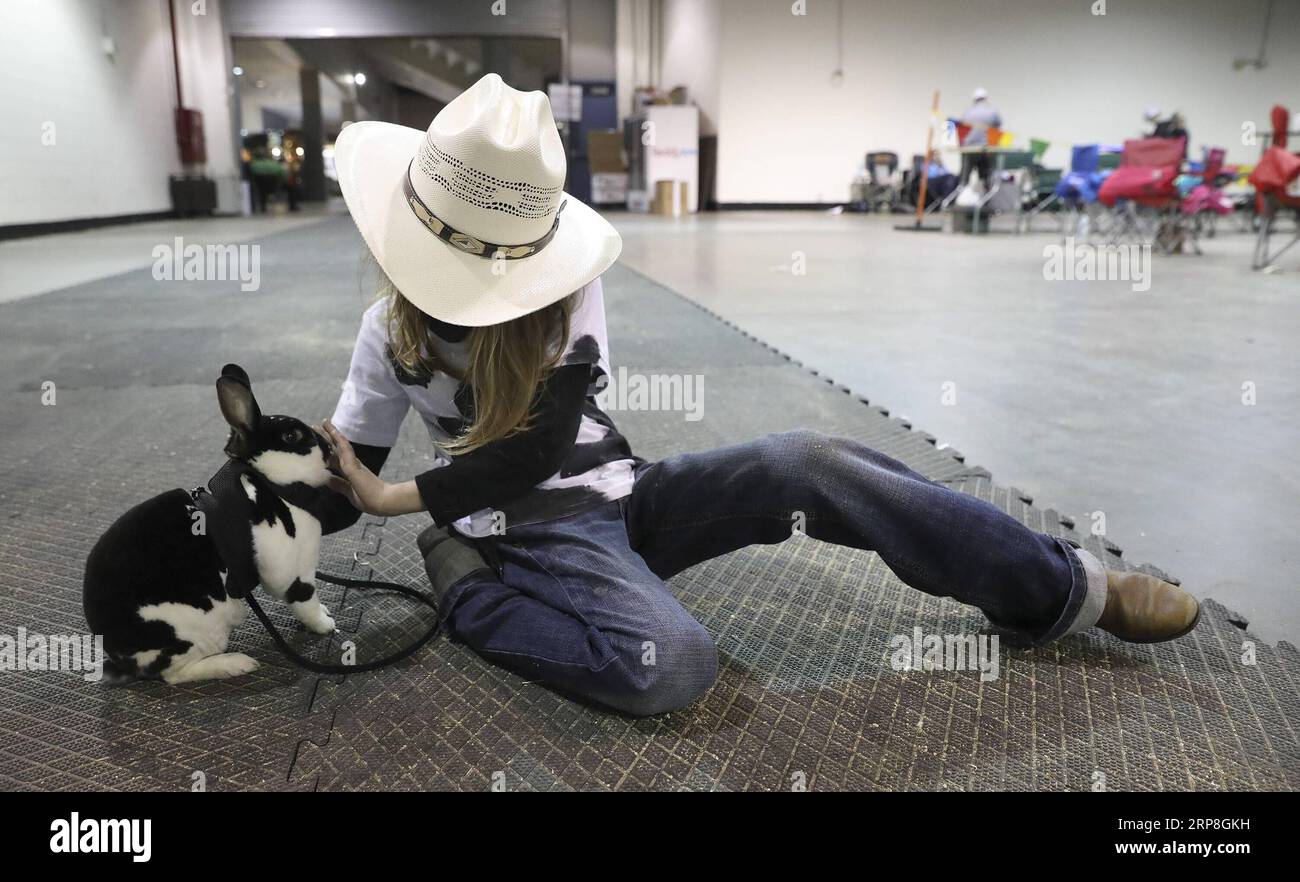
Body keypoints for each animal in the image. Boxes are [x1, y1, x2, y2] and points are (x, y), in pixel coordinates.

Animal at [84, 364, 338, 681]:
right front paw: (325, 625)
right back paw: (237, 664)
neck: (271, 484)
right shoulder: (293, 573)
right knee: (177, 675)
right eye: (292, 436)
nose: (330, 448)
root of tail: (121, 658)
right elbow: (306, 603)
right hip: (197, 632)